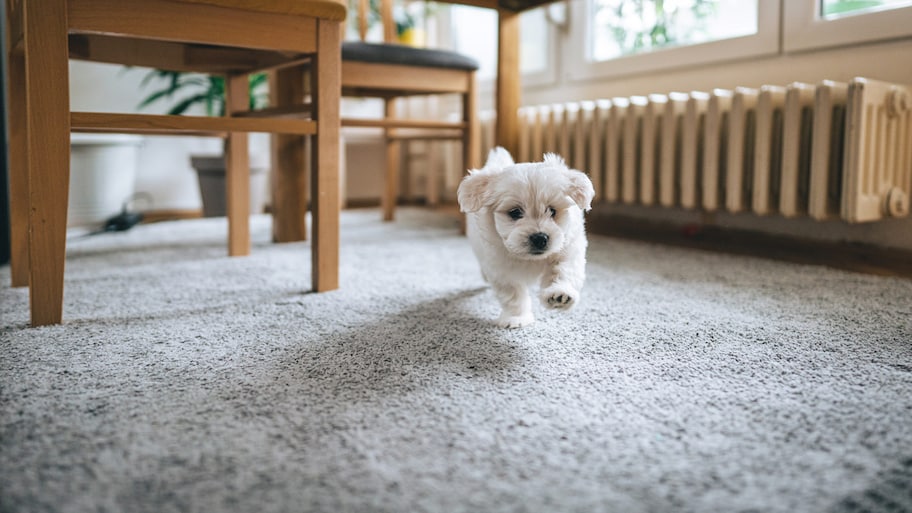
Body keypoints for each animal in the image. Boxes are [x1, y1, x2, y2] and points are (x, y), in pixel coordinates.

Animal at [460, 146, 596, 328]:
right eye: (515, 212)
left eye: (552, 211)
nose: (540, 238)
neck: (530, 259)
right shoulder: (501, 268)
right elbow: (512, 294)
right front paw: (516, 318)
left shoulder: (568, 248)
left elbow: (563, 270)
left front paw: (559, 294)